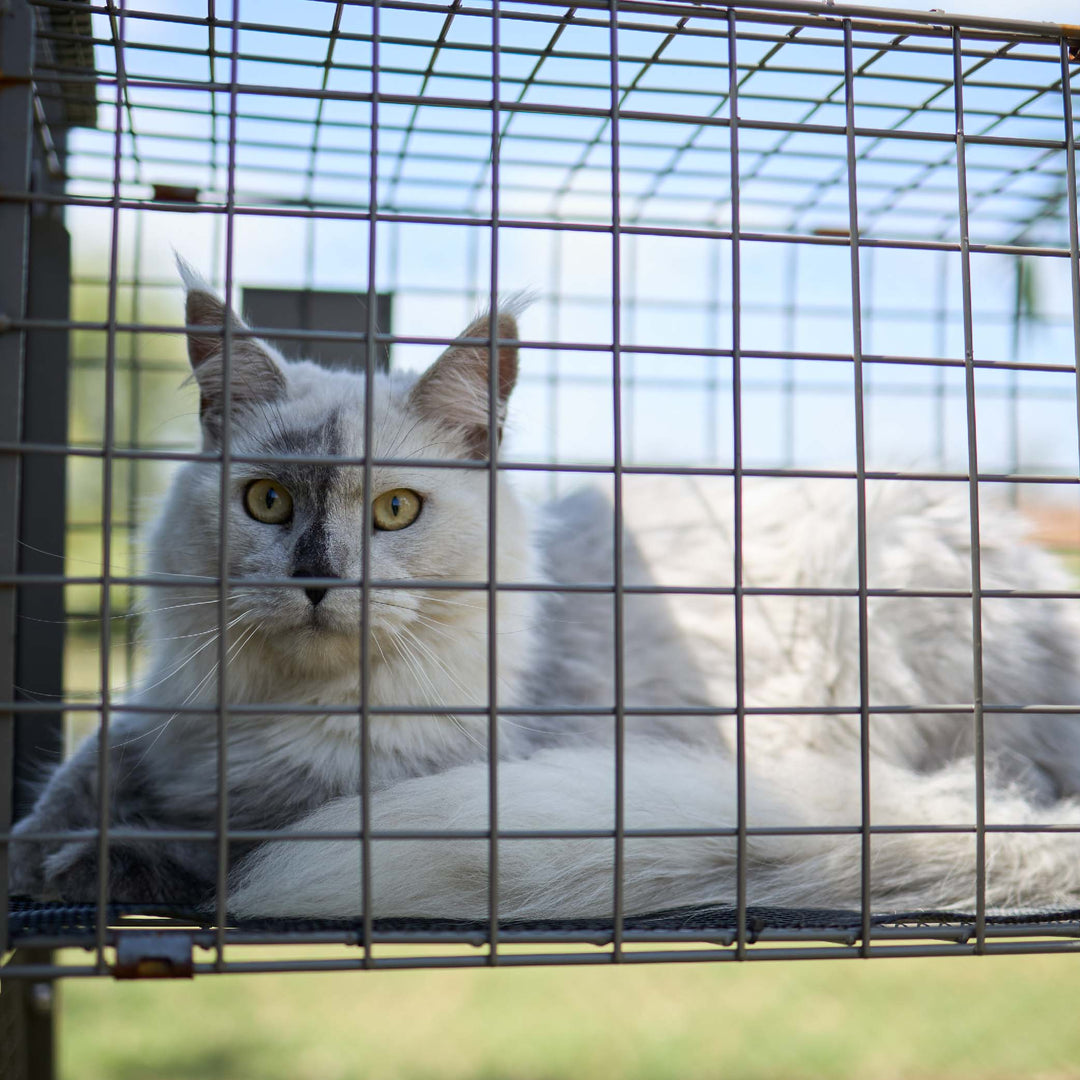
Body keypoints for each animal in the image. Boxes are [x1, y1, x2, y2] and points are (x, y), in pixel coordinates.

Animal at [10, 267, 1080, 920]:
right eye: (267, 500)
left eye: (396, 510)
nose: (318, 578)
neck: (273, 711)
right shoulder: (164, 715)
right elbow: (87, 770)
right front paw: (34, 848)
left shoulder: (358, 792)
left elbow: (209, 849)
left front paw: (89, 863)